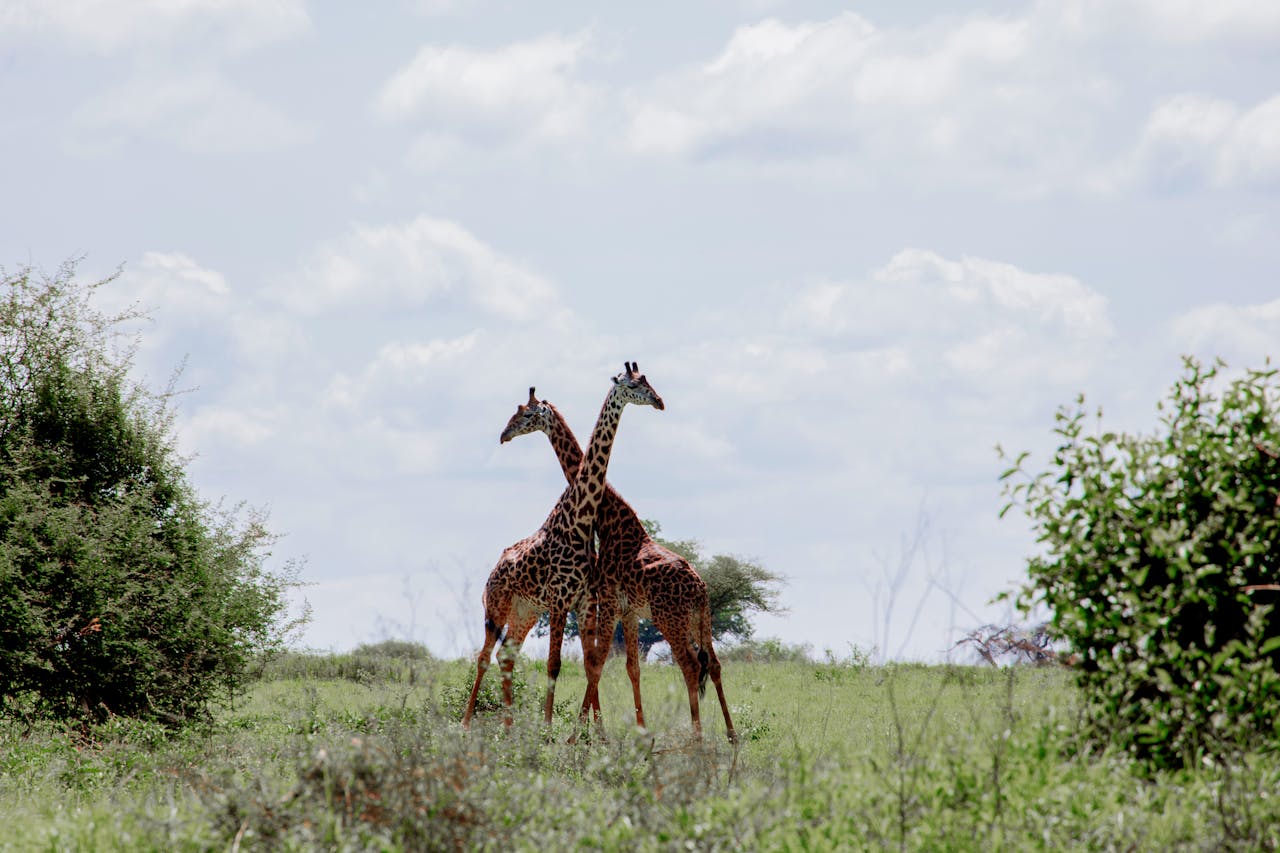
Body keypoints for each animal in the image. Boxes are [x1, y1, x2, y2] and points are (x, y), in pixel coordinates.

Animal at [462, 362, 664, 731]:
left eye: (526, 414)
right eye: (633, 385)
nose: (504, 435)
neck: (580, 520)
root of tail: (491, 575)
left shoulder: (584, 600)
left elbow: (588, 662)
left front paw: (595, 732)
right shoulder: (560, 599)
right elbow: (555, 664)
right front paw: (549, 728)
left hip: (525, 611)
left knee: (505, 655)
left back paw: (509, 727)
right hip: (497, 607)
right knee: (484, 656)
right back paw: (468, 723)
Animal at [500, 387, 737, 743]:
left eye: (525, 415)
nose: (504, 435)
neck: (609, 518)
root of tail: (700, 589)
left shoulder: (609, 601)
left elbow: (597, 663)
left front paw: (581, 735)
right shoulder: (627, 609)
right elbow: (629, 668)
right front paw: (638, 731)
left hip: (671, 619)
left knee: (691, 665)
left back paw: (697, 737)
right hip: (700, 619)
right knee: (716, 663)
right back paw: (731, 735)